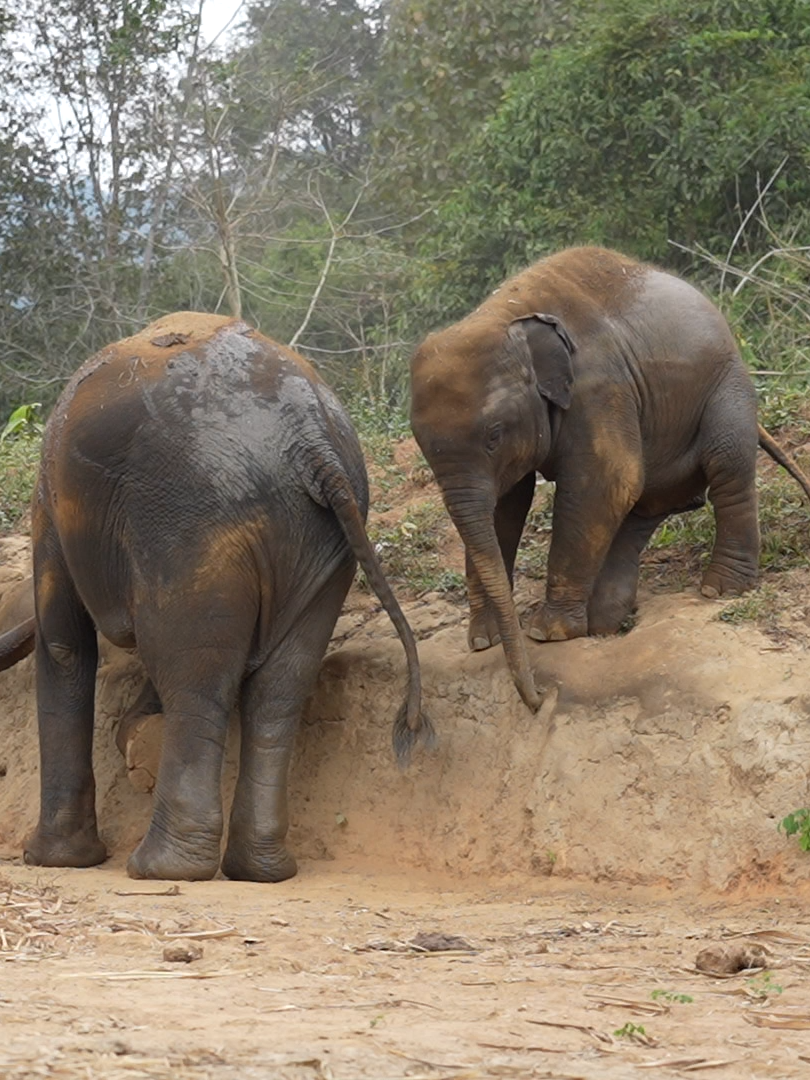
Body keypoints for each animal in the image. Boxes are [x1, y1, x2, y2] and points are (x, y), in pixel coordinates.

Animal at [20, 311, 438, 876]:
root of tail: (313, 442)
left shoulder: (50, 500)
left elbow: (64, 644)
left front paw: (50, 859)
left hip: (194, 522)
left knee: (195, 678)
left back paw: (162, 868)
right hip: (320, 543)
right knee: (281, 687)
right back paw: (260, 870)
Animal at [412, 248, 810, 712]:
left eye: (494, 435)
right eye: (422, 445)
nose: (537, 699)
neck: (504, 313)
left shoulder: (600, 387)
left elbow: (605, 482)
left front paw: (547, 633)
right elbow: (505, 508)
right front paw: (482, 640)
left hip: (726, 386)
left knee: (726, 466)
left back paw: (719, 590)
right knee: (647, 505)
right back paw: (605, 620)